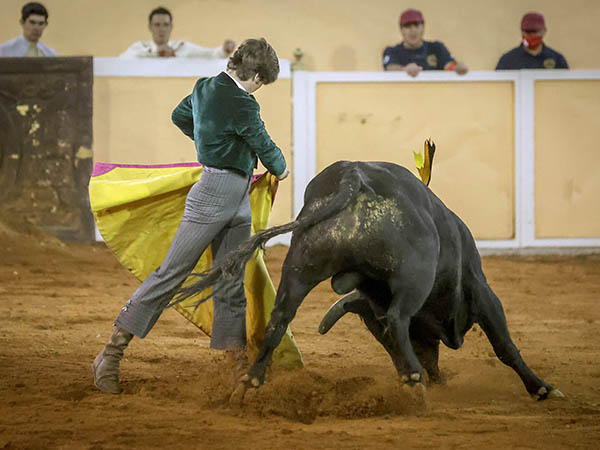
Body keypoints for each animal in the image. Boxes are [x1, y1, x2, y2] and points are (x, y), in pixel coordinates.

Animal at [172, 150, 563, 402]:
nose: (435, 375)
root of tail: (353, 176)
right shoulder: (480, 291)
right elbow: (504, 345)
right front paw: (541, 388)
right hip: (415, 274)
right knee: (397, 316)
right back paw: (413, 379)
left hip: (300, 267)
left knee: (279, 319)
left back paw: (250, 382)